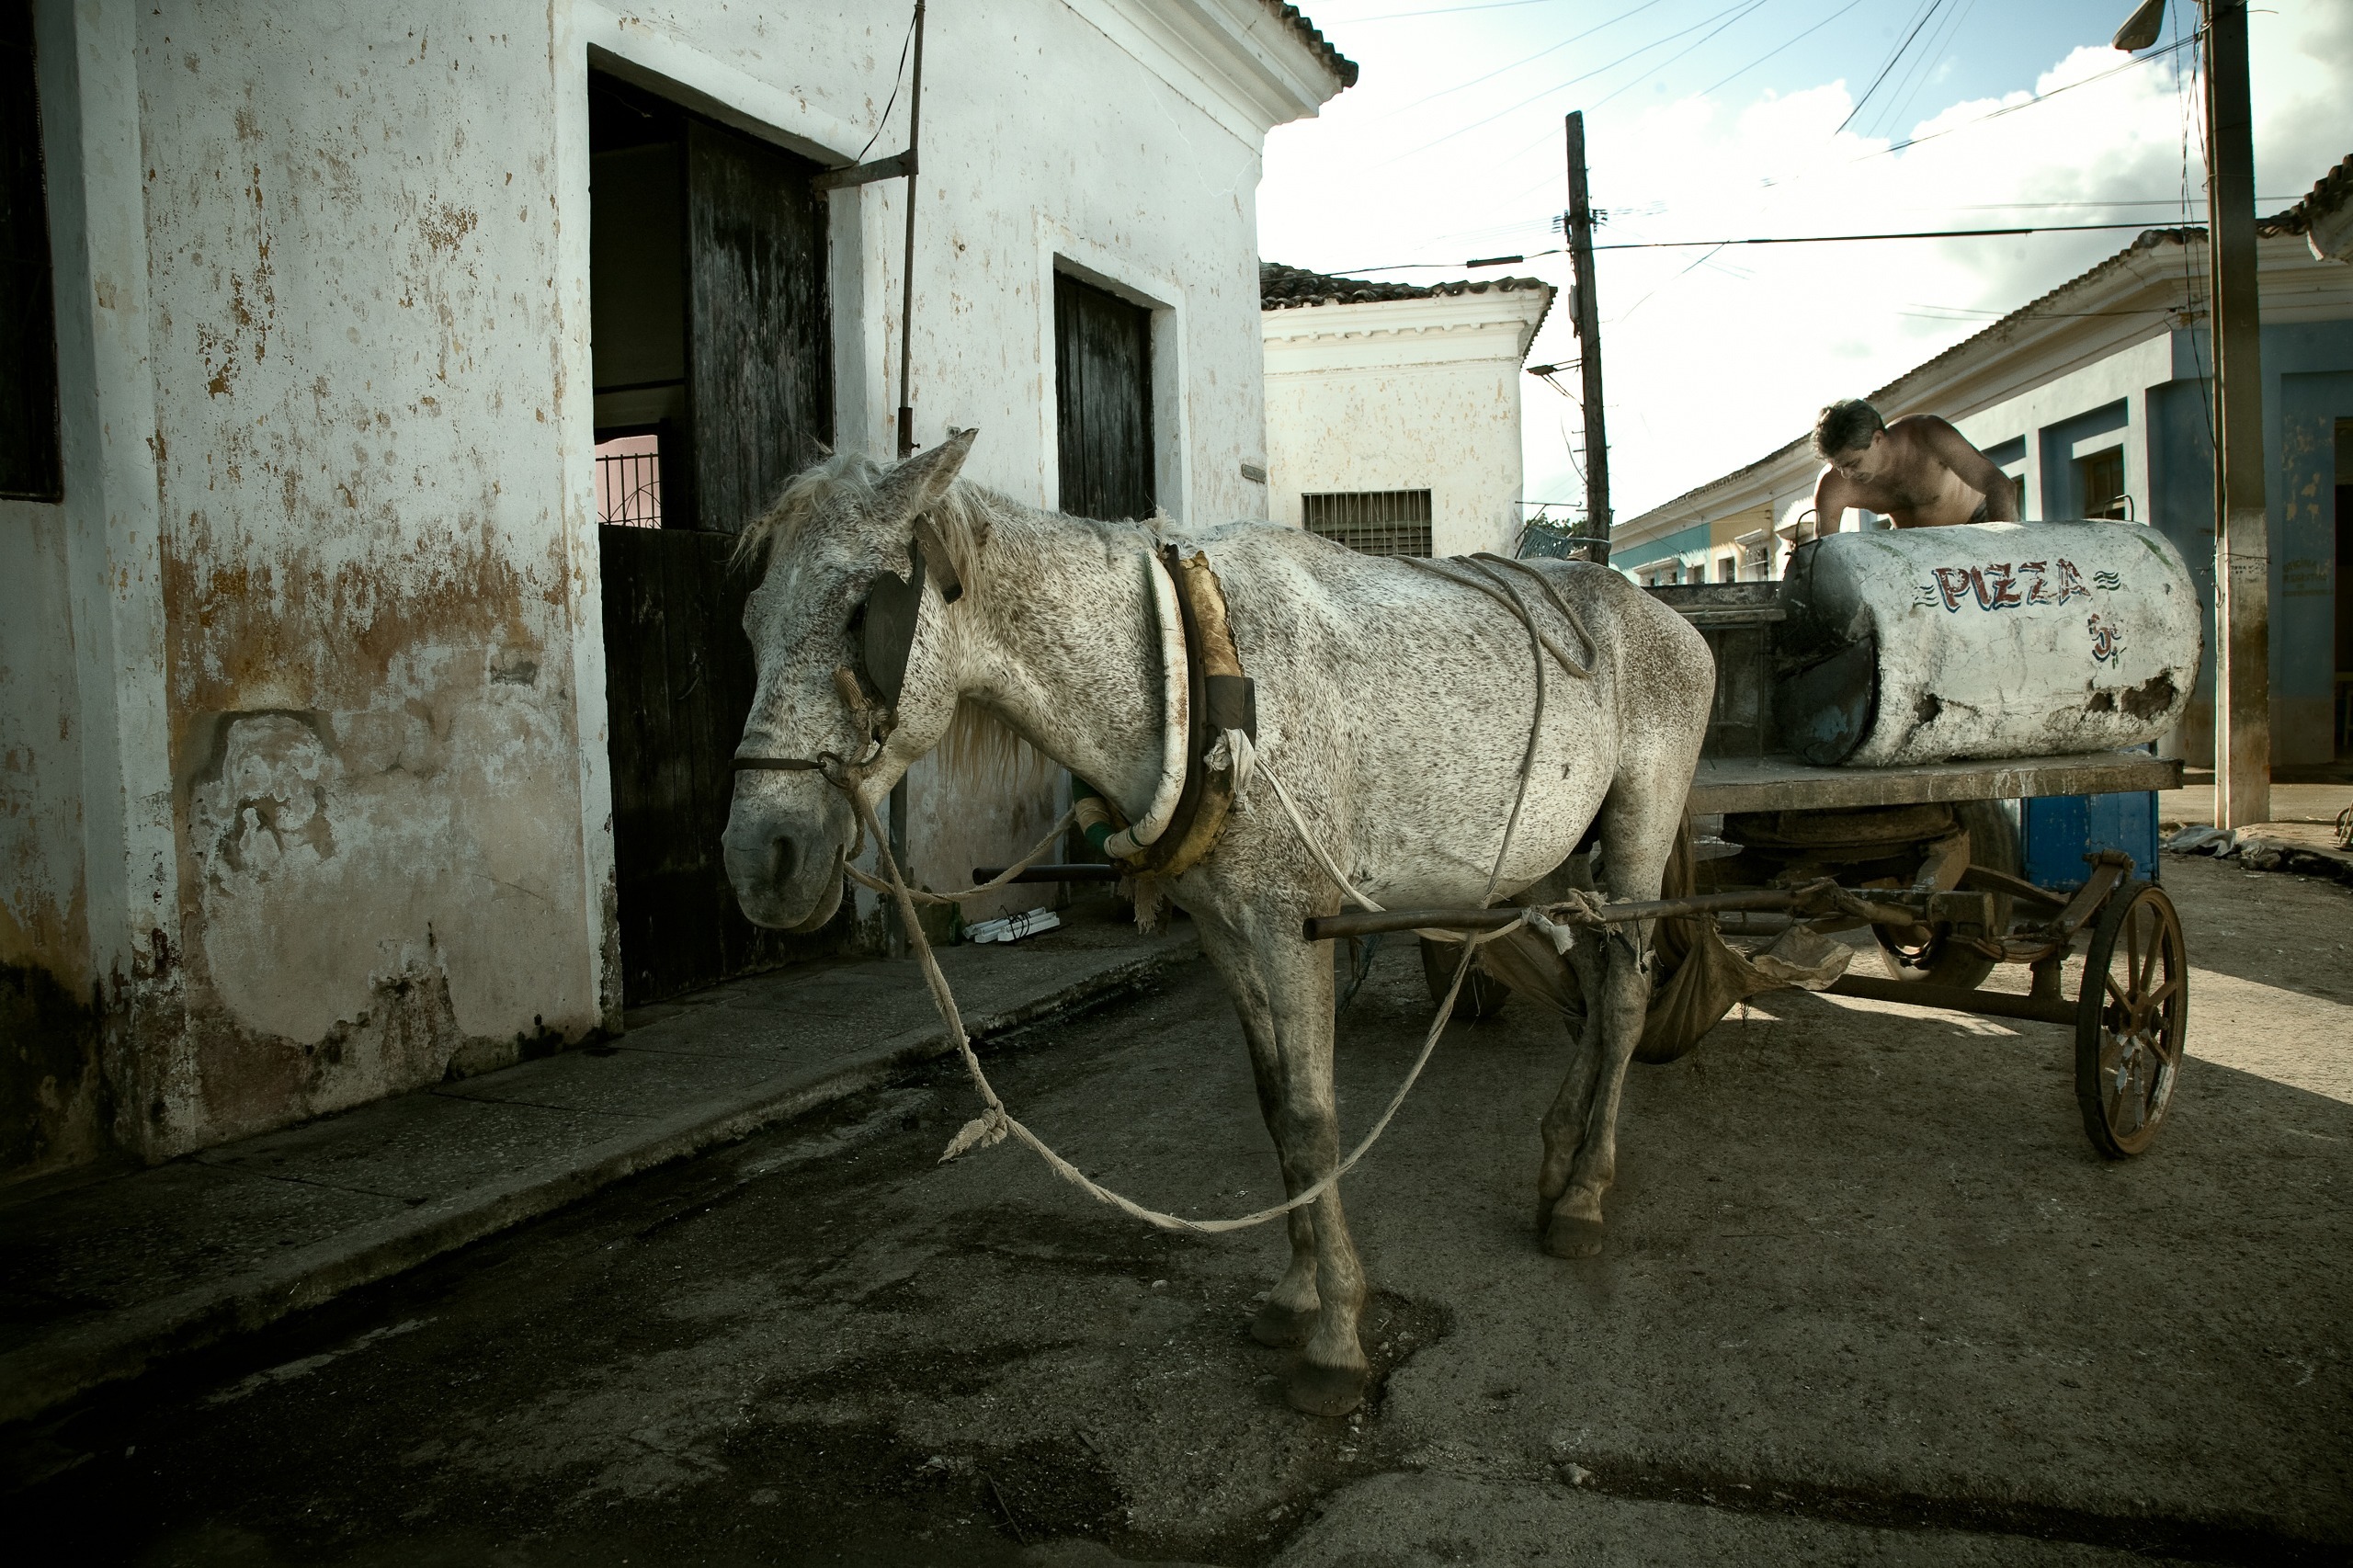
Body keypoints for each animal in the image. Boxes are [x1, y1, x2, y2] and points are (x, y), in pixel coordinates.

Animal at [722, 431, 1714, 1417]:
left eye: (863, 613)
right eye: (752, 621)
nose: (759, 858)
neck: (1197, 667)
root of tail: (1660, 614)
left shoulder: (1292, 924)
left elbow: (1313, 1118)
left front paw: (1336, 1337)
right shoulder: (1224, 930)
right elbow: (1274, 1108)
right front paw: (1294, 1294)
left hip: (1637, 829)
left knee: (1624, 999)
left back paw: (1583, 1196)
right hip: (1559, 854)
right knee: (1590, 986)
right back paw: (1557, 1160)